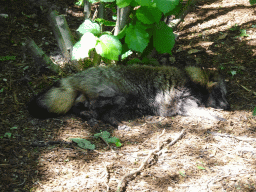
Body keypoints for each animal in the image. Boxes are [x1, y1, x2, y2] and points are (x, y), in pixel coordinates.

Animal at [28, 65, 230, 125]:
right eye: (221, 93)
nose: (228, 106)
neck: (193, 80)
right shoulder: (180, 100)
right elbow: (198, 110)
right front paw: (215, 115)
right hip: (115, 95)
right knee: (101, 111)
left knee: (83, 107)